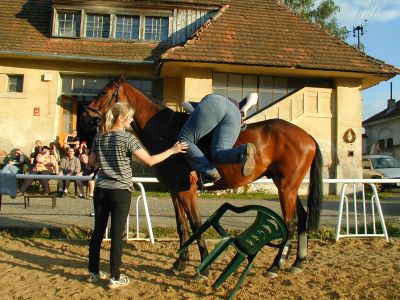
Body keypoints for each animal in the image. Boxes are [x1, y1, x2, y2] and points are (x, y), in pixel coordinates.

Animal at [81, 74, 322, 278]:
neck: (165, 133)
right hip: (289, 187)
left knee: (290, 222)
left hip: (286, 188)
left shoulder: (187, 190)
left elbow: (196, 223)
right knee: (301, 219)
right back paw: (297, 262)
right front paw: (181, 262)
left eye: (104, 91)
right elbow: (182, 224)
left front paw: (203, 267)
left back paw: (275, 266)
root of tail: (308, 136)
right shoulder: (175, 190)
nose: (85, 116)